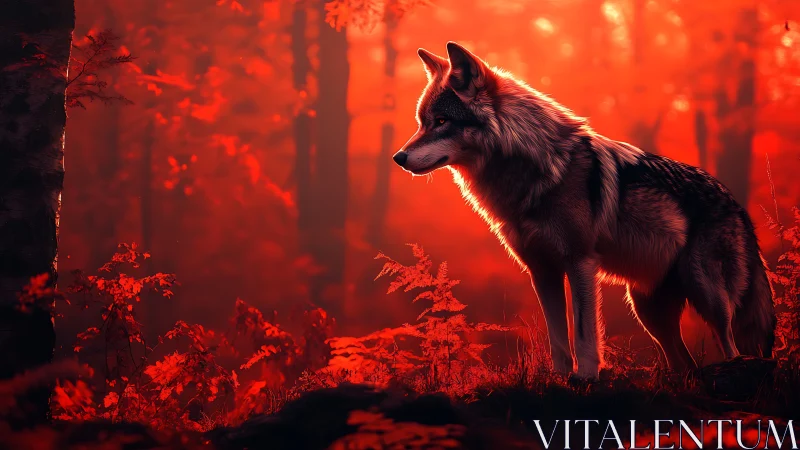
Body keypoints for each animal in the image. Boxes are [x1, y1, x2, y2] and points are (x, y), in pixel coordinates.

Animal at [392, 42, 776, 378]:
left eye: (442, 121)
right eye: (422, 122)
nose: (399, 157)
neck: (535, 173)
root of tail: (736, 202)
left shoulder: (580, 263)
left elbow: (584, 334)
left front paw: (586, 377)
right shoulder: (541, 271)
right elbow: (558, 338)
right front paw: (560, 377)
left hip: (705, 291)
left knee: (729, 342)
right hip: (647, 310)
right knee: (685, 362)